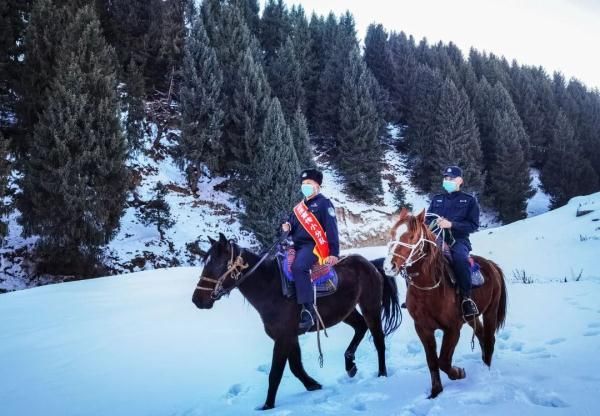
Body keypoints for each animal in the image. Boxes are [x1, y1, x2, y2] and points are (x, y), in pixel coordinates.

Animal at [190, 234, 400, 410]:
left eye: (217, 265)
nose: (197, 300)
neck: (270, 287)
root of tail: (370, 264)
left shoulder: (283, 338)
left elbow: (275, 373)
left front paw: (267, 406)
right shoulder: (290, 336)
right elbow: (296, 366)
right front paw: (313, 385)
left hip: (370, 307)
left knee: (378, 340)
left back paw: (381, 374)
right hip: (346, 312)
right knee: (360, 327)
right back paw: (350, 365)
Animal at [384, 210, 506, 398]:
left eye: (411, 236)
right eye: (392, 234)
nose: (388, 266)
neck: (429, 289)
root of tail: (492, 266)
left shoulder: (453, 329)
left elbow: (443, 361)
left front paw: (458, 373)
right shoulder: (423, 329)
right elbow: (432, 361)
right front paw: (436, 391)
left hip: (490, 312)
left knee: (489, 339)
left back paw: (487, 370)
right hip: (471, 317)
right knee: (480, 335)